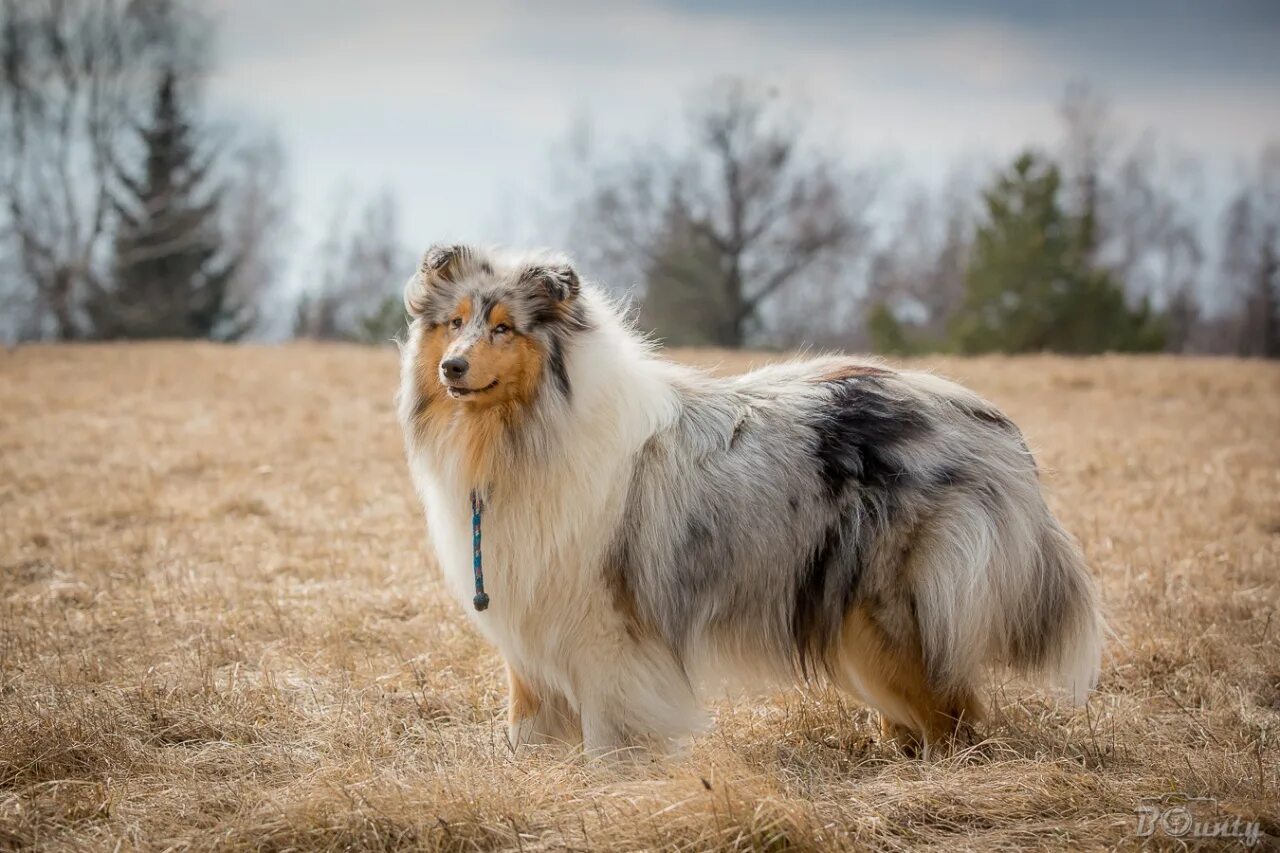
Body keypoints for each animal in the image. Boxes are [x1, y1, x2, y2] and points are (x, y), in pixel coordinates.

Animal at [396, 242, 1100, 753]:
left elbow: (609, 730)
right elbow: (530, 724)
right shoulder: (528, 624)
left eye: (504, 329)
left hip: (892, 612)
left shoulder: (607, 627)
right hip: (854, 621)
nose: (452, 367)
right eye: (454, 324)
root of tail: (988, 421)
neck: (521, 433)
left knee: (956, 712)